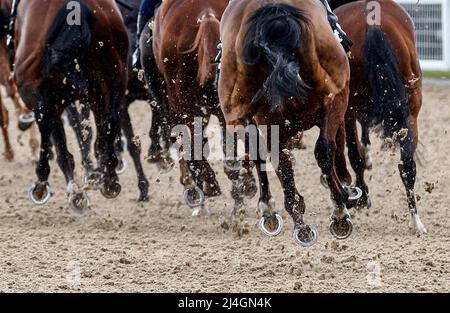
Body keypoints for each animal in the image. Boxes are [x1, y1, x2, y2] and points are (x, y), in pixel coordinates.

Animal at [13, 0, 129, 211]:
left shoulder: (49, 99)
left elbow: (57, 137)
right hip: (114, 81)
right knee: (109, 121)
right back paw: (109, 177)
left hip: (35, 91)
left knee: (47, 125)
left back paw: (45, 183)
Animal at [218, 0, 362, 244]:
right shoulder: (338, 99)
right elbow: (335, 146)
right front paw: (346, 188)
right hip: (335, 97)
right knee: (323, 150)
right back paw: (339, 212)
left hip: (241, 118)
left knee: (276, 160)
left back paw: (295, 222)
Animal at [334, 0, 426, 234]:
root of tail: (372, 27)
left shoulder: (348, 112)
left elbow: (354, 154)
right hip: (411, 112)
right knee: (407, 166)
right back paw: (416, 222)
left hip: (349, 108)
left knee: (354, 155)